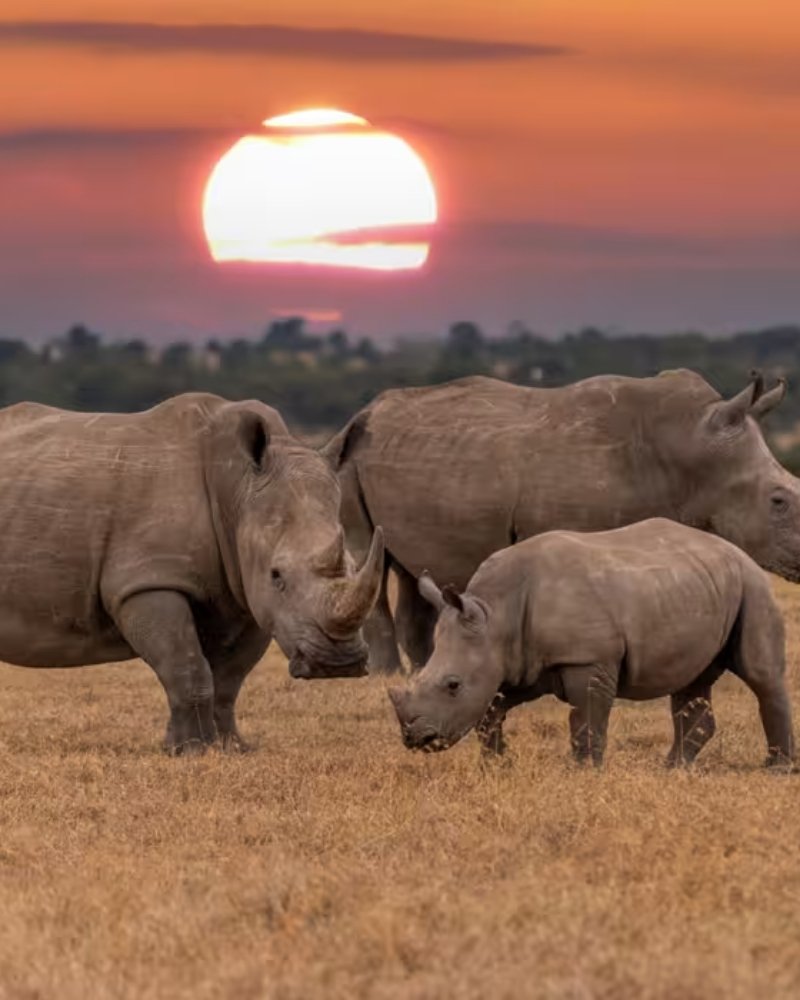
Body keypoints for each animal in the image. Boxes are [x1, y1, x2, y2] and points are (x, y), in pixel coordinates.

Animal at [0, 393, 384, 753]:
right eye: (277, 575)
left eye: (354, 565)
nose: (339, 663)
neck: (238, 491)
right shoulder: (150, 581)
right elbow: (186, 664)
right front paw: (192, 750)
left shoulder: (246, 591)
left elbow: (228, 680)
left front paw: (228, 748)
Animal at [324, 370, 796, 674]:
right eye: (779, 501)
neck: (692, 450)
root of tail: (360, 414)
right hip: (348, 463)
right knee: (370, 555)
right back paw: (387, 676)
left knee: (410, 568)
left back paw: (423, 668)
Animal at [389, 519, 795, 769]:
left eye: (453, 685)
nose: (416, 739)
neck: (495, 613)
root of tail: (736, 549)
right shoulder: (519, 662)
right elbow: (491, 712)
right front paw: (498, 765)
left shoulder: (587, 658)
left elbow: (586, 718)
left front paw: (583, 771)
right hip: (698, 584)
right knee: (690, 680)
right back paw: (673, 769)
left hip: (752, 584)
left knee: (761, 675)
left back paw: (777, 768)